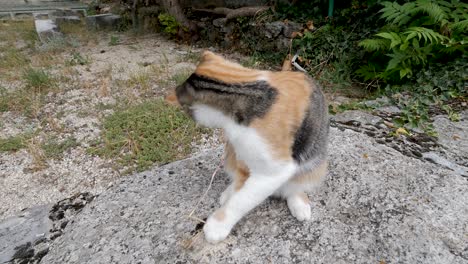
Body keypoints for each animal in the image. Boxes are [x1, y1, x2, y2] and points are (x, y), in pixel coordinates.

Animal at [165, 51, 330, 243]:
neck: (244, 89)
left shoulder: (274, 171)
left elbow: (242, 200)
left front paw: (217, 226)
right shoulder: (241, 151)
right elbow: (241, 182)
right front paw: (231, 194)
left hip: (315, 164)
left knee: (295, 184)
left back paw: (299, 203)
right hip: (231, 152)